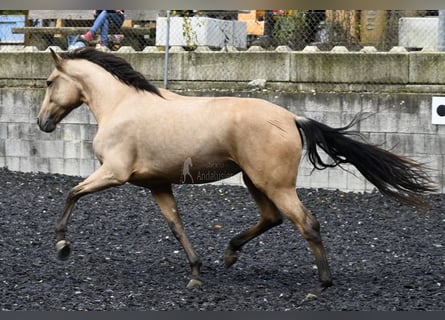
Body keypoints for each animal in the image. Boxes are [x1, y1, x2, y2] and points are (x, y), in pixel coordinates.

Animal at [35, 47, 434, 296]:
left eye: (50, 82)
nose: (42, 123)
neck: (121, 104)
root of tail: (292, 118)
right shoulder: (158, 184)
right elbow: (176, 225)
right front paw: (196, 274)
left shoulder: (113, 173)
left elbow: (71, 193)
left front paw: (62, 245)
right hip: (253, 180)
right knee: (272, 218)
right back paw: (230, 253)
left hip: (274, 184)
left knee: (306, 223)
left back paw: (320, 285)